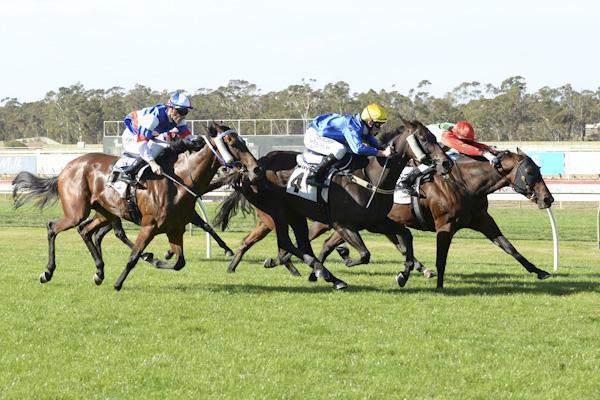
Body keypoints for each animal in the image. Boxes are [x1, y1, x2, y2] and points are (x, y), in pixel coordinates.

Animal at [11, 122, 260, 290]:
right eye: (232, 142)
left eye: (243, 140)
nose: (255, 168)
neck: (180, 179)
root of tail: (66, 168)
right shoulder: (149, 225)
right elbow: (133, 256)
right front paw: (120, 282)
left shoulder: (176, 227)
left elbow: (179, 262)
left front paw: (156, 258)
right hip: (77, 211)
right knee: (53, 228)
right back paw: (47, 272)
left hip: (105, 213)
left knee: (86, 231)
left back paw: (99, 271)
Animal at [213, 117, 452, 290]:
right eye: (424, 138)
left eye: (434, 137)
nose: (446, 163)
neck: (372, 177)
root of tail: (252, 167)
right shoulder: (342, 223)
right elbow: (364, 254)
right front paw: (345, 256)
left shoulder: (376, 222)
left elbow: (406, 237)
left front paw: (403, 274)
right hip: (276, 212)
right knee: (286, 244)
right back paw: (324, 273)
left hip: (295, 214)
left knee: (296, 244)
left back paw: (321, 273)